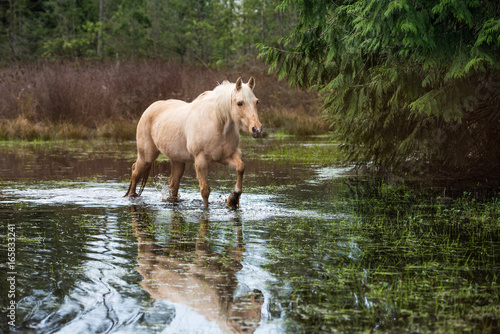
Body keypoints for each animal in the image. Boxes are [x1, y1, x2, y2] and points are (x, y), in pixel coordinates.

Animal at [124, 77, 262, 207]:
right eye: (240, 103)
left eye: (256, 102)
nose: (257, 129)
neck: (217, 124)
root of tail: (149, 109)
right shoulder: (201, 161)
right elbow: (205, 191)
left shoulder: (227, 156)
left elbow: (241, 167)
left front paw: (233, 198)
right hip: (146, 156)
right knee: (135, 173)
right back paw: (131, 196)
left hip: (177, 161)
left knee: (173, 184)